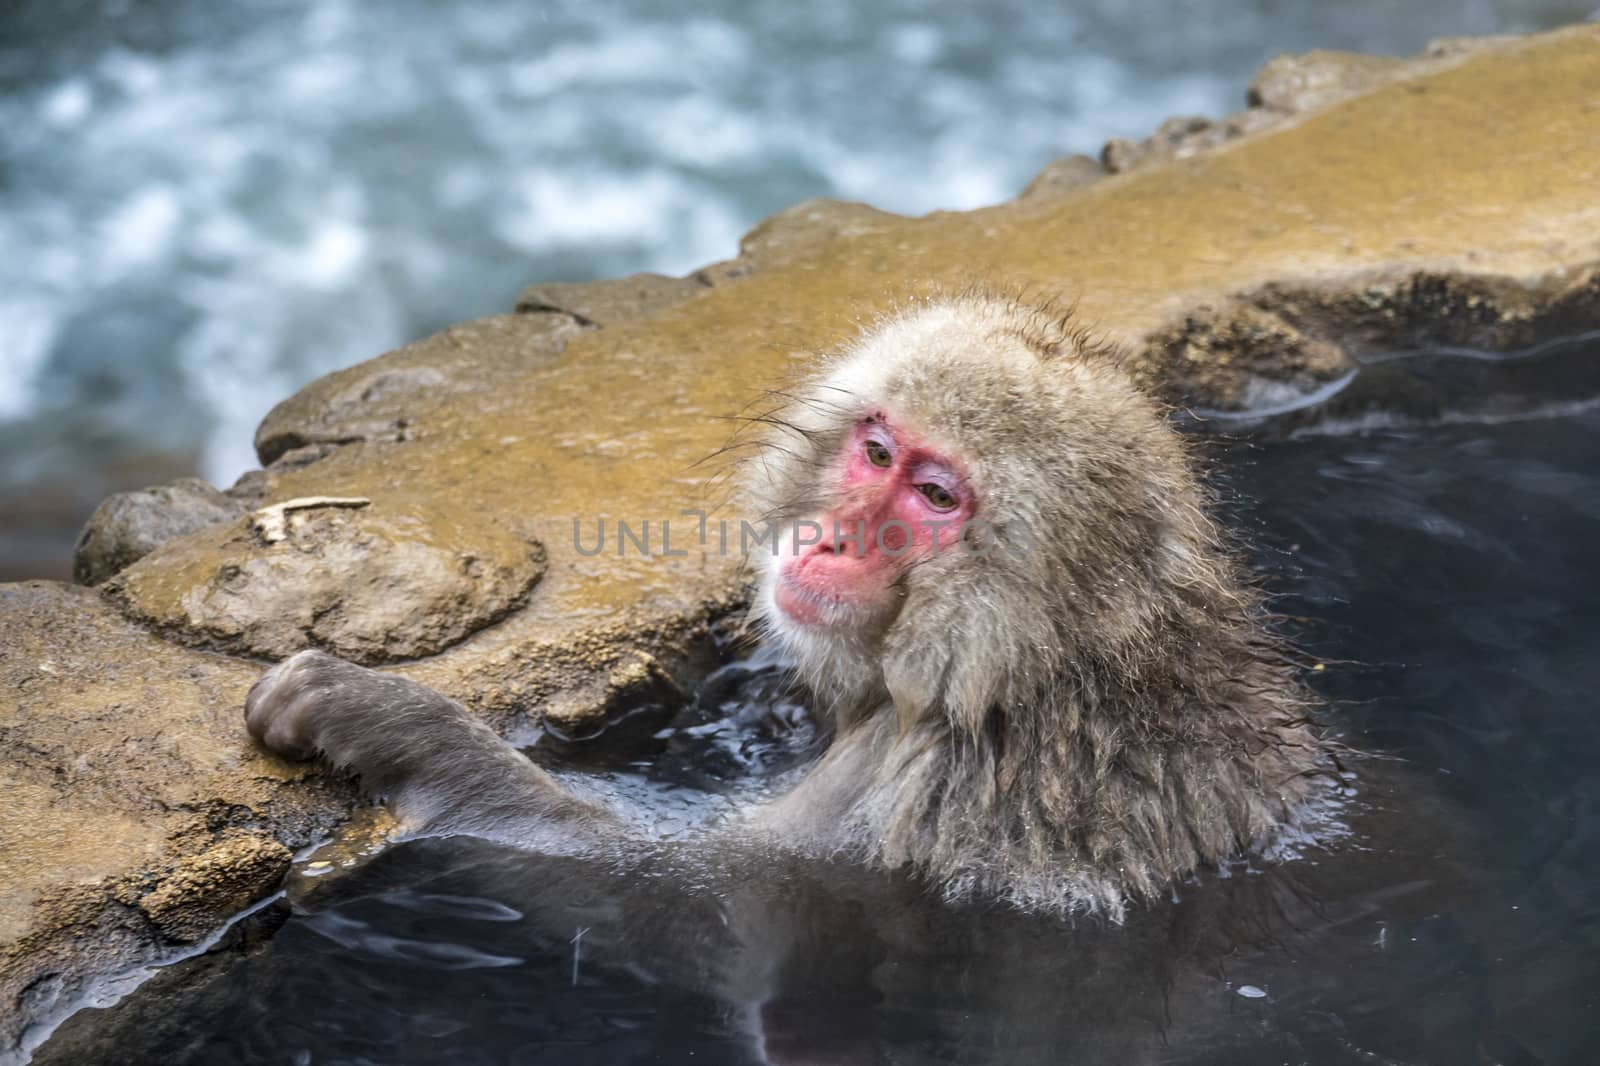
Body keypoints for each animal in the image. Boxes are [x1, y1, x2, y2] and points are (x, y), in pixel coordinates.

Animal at [246, 288, 1324, 915]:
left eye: (937, 497)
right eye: (876, 450)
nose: (833, 535)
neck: (1035, 670)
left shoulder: (926, 792)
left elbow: (674, 888)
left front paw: (392, 722)